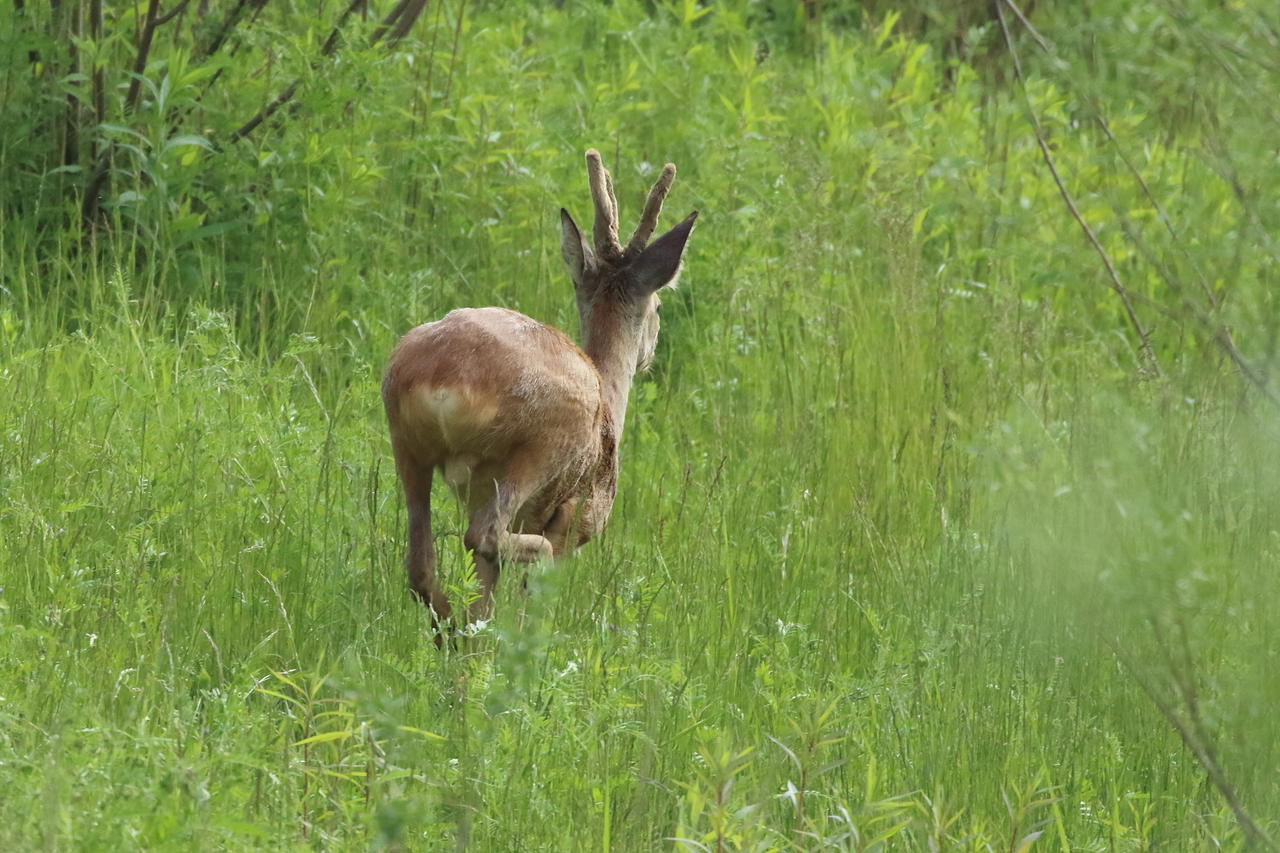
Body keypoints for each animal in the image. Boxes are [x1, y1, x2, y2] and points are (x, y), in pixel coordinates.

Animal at [381, 147, 701, 625]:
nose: (650, 354)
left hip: (406, 442)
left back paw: (452, 630)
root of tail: (444, 378)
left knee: (422, 563)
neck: (608, 395)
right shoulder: (578, 517)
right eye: (659, 306)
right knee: (485, 538)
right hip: (537, 447)